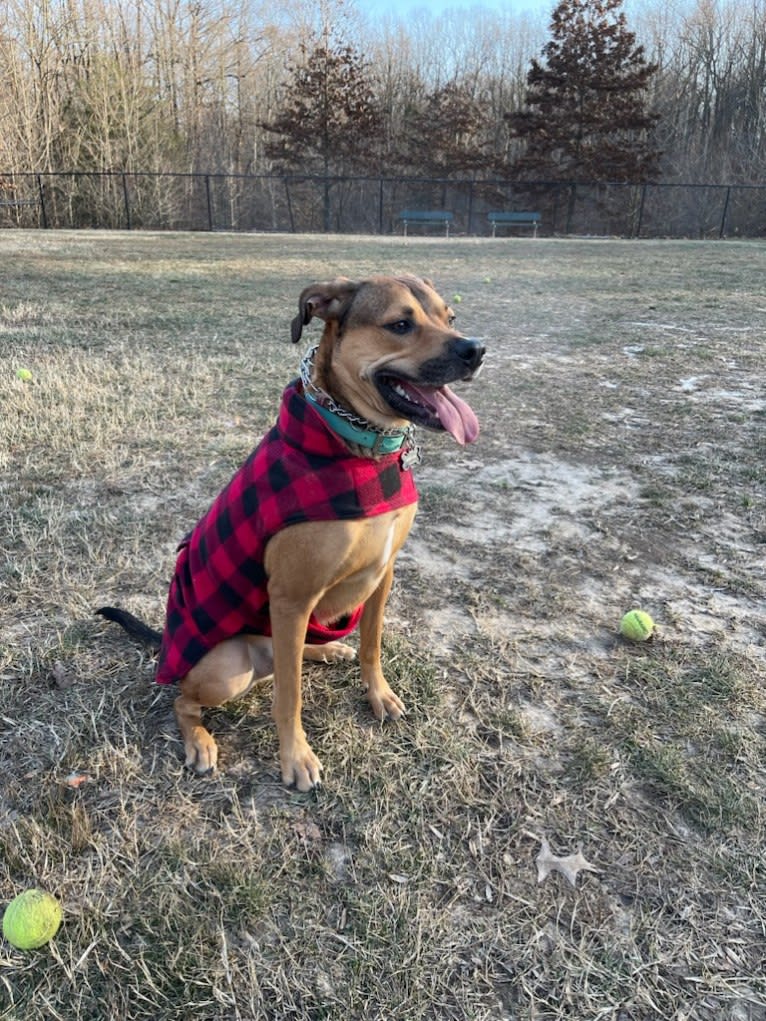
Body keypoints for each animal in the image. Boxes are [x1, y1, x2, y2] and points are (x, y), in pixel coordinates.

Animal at [97, 273, 486, 788]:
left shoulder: (383, 575)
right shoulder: (291, 598)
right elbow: (290, 695)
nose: (476, 349)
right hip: (226, 667)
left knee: (297, 654)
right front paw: (295, 757)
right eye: (400, 324)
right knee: (186, 697)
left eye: (450, 317)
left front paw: (378, 694)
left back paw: (329, 652)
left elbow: (372, 646)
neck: (364, 449)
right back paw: (199, 740)